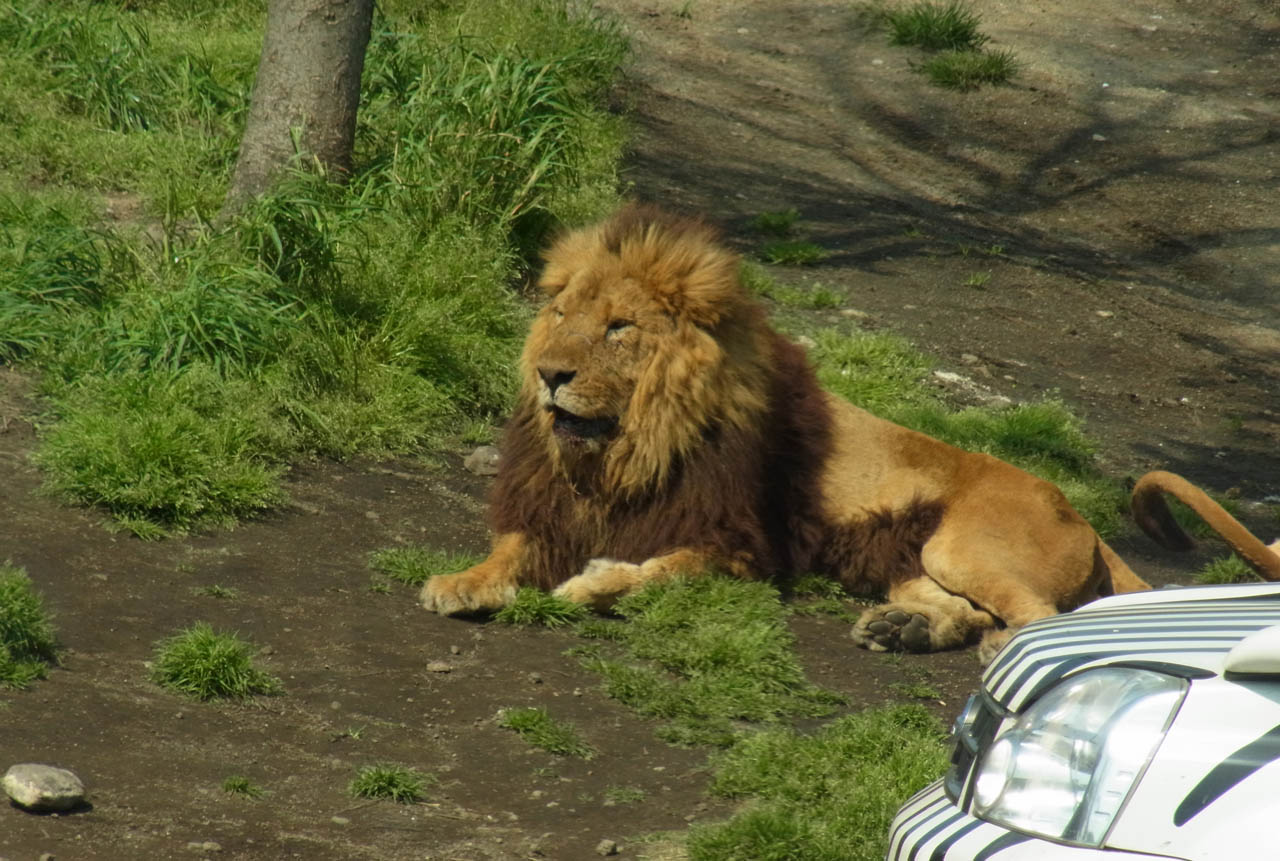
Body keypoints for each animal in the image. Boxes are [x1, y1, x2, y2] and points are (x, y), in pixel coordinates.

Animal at [417, 205, 1249, 660]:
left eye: (618, 327)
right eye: (560, 313)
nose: (550, 373)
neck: (623, 450)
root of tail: (1077, 509)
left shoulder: (737, 549)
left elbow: (650, 572)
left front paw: (592, 582)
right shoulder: (554, 511)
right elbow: (509, 548)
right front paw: (458, 582)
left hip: (962, 544)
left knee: (1036, 616)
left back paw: (992, 650)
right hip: (917, 555)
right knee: (970, 608)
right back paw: (903, 629)